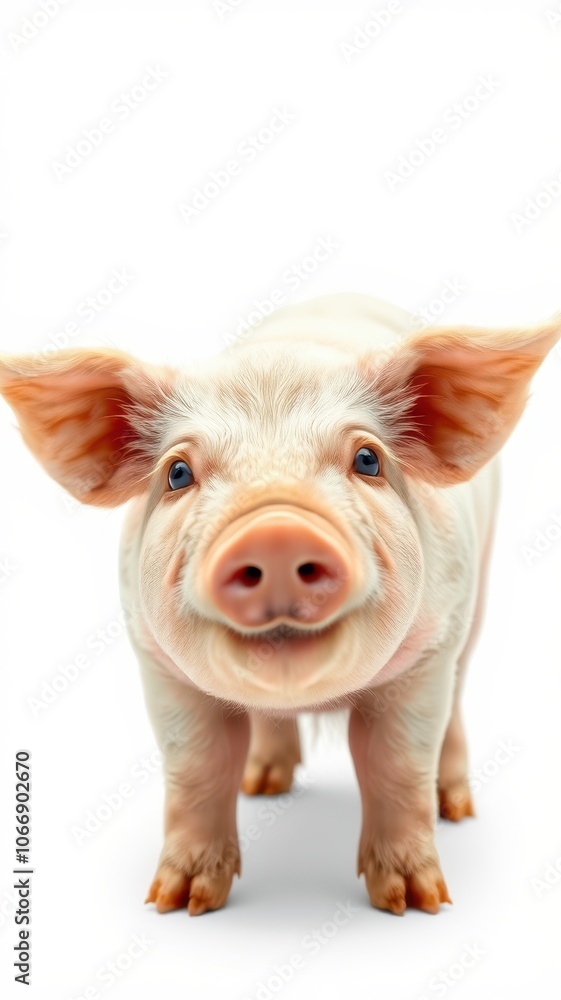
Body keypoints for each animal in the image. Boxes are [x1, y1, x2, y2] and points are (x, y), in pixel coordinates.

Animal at [1, 293, 559, 917]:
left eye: (368, 459)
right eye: (177, 472)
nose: (276, 531)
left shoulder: (426, 656)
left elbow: (396, 766)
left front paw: (418, 904)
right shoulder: (156, 661)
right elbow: (196, 768)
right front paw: (177, 903)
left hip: (475, 600)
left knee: (457, 702)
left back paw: (456, 809)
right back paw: (263, 785)